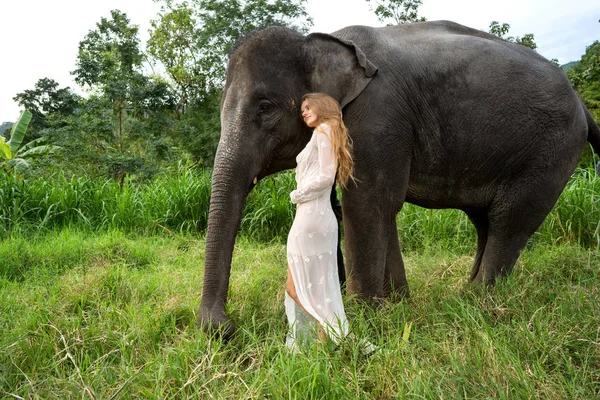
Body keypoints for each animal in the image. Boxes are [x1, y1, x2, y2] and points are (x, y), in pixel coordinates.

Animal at [199, 20, 600, 336]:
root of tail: (583, 105)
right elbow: (381, 207)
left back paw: (479, 301)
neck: (323, 42)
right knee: (484, 221)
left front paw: (364, 318)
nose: (223, 328)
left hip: (550, 153)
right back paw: (465, 293)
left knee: (509, 222)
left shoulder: (376, 116)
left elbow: (366, 203)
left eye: (265, 108)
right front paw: (397, 306)